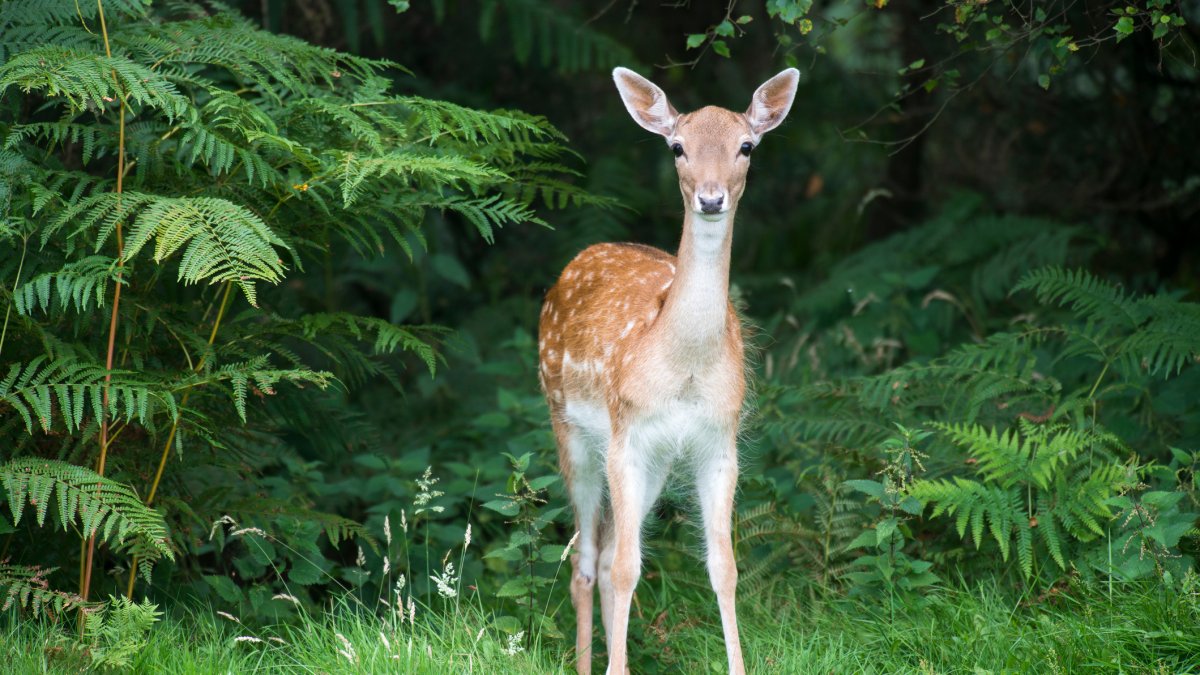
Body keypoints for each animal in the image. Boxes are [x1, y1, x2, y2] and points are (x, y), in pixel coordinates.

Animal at [537, 64, 796, 672]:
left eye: (746, 146)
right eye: (677, 147)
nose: (711, 197)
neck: (684, 369)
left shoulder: (718, 441)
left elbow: (724, 569)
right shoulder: (626, 433)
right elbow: (627, 568)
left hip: (654, 460)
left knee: (609, 551)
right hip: (570, 427)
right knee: (587, 561)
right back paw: (590, 664)